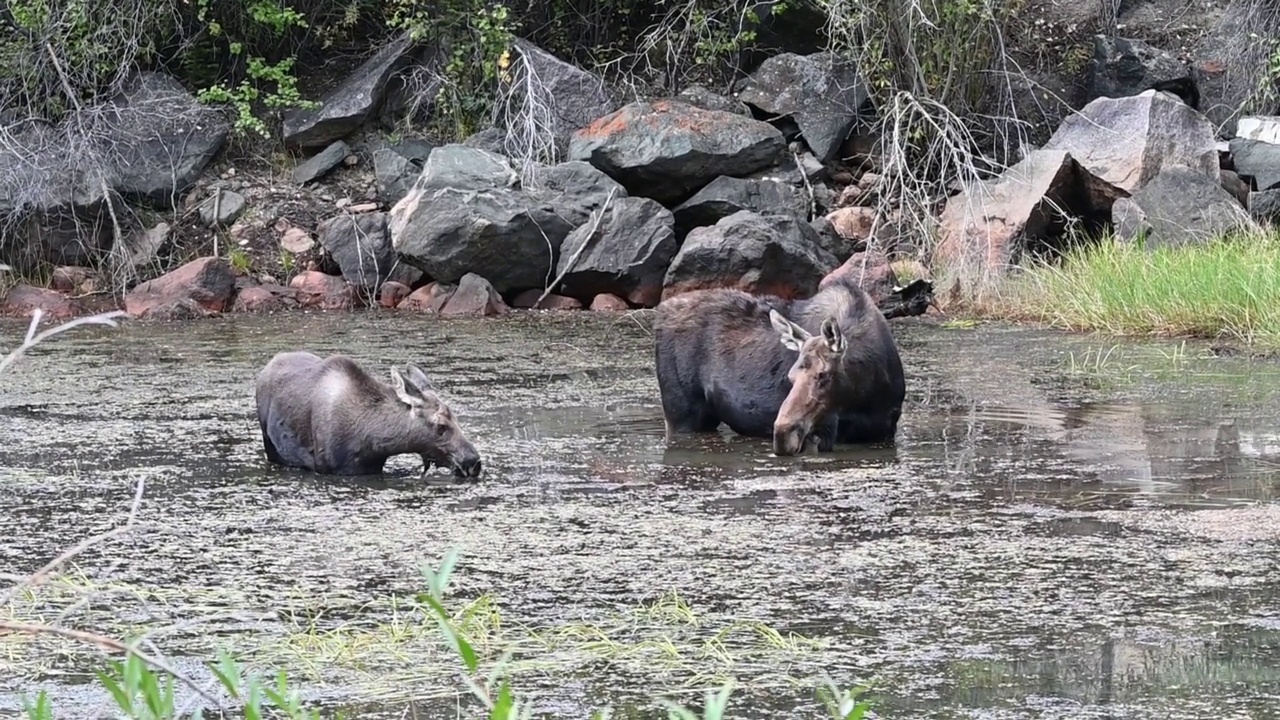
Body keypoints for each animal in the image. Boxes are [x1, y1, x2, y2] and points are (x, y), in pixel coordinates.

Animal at [655, 280, 906, 453]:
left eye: (823, 374)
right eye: (790, 377)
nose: (783, 435)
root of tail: (660, 311)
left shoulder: (886, 430)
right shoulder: (823, 435)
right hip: (682, 417)